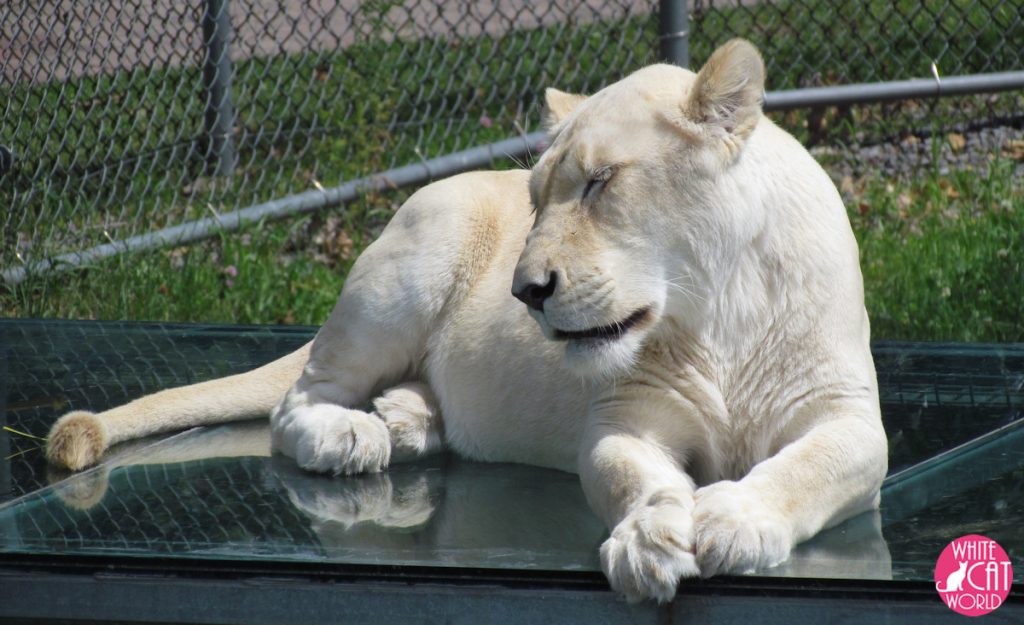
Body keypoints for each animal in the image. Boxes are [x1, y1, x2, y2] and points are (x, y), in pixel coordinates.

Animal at [46, 39, 888, 603]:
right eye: (538, 195)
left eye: (600, 182)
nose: (526, 289)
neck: (716, 307)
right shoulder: (623, 417)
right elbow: (632, 476)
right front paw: (650, 537)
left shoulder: (849, 416)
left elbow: (807, 467)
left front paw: (734, 517)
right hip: (419, 250)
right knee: (299, 397)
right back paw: (354, 434)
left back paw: (407, 415)